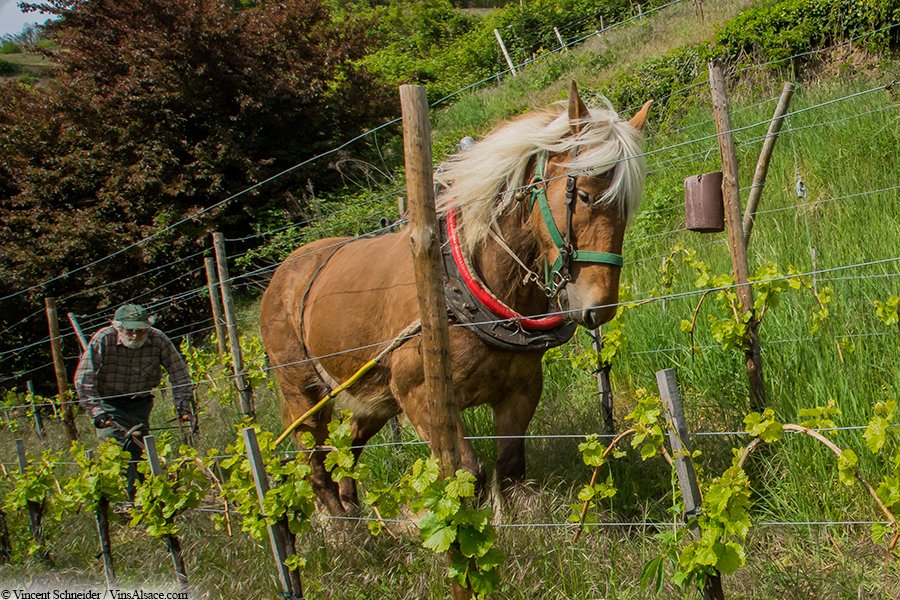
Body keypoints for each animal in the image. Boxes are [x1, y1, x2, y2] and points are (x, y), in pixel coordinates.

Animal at [260, 82, 650, 515]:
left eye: (628, 205)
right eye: (582, 195)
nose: (601, 306)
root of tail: (282, 273)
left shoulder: (521, 390)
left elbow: (510, 470)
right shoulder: (420, 397)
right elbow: (469, 474)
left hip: (372, 399)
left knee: (348, 450)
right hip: (301, 391)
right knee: (315, 463)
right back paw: (342, 526)